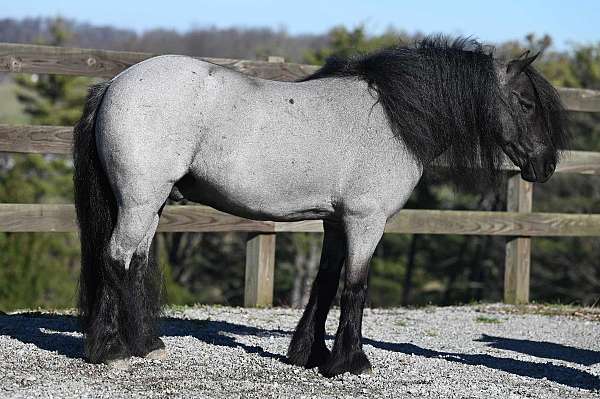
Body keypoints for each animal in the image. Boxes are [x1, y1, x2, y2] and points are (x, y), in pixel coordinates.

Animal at [72, 36, 568, 376]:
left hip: (149, 204)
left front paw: (310, 354)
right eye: (525, 103)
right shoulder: (366, 221)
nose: (546, 165)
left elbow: (325, 284)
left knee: (131, 263)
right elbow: (355, 287)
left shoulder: (336, 222)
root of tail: (114, 83)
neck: (390, 117)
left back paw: (126, 344)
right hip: (141, 199)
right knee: (116, 259)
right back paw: (125, 348)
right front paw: (351, 361)